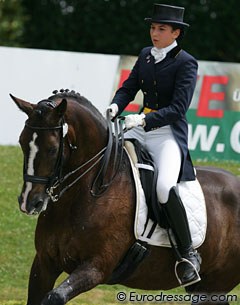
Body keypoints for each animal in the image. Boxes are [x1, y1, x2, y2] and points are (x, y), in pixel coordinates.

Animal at [10, 88, 240, 304]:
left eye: (52, 149)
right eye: (21, 142)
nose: (29, 202)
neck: (90, 191)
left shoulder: (96, 267)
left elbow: (54, 297)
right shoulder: (44, 263)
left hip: (214, 284)